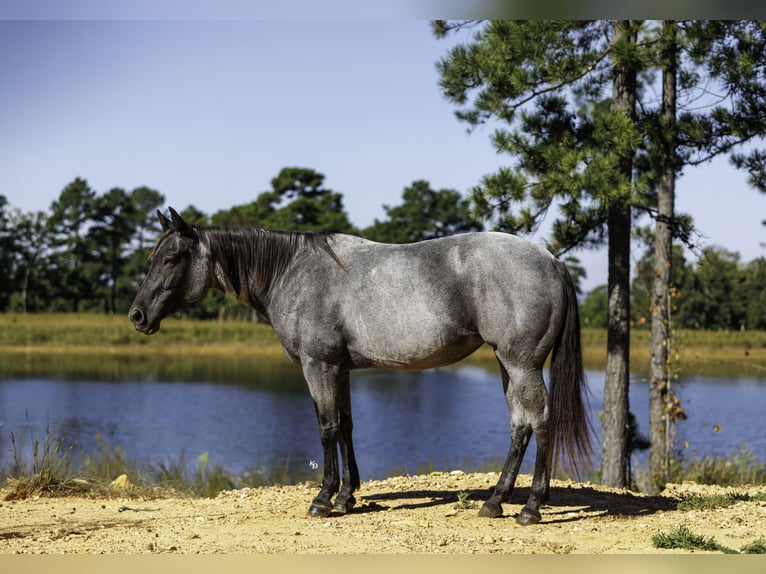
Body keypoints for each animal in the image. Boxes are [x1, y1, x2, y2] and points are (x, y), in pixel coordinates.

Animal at [129, 207, 592, 525]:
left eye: (173, 258)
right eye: (155, 257)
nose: (137, 315)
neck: (292, 271)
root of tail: (550, 259)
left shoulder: (318, 366)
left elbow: (326, 427)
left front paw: (323, 499)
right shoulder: (341, 369)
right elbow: (347, 426)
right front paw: (347, 496)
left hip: (522, 363)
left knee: (541, 419)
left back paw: (530, 507)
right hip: (506, 363)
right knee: (520, 424)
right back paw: (495, 501)